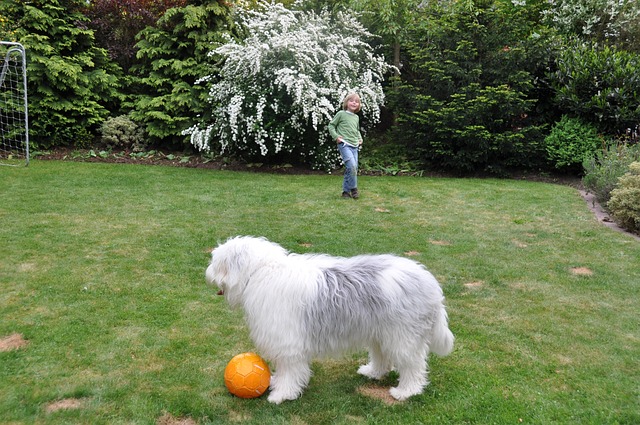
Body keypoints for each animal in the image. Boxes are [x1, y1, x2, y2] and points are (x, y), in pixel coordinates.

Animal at [206, 237, 456, 402]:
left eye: (216, 262)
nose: (206, 274)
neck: (260, 271)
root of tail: (430, 283)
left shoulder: (288, 343)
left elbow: (289, 371)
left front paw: (281, 394)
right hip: (380, 331)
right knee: (382, 357)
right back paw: (372, 372)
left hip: (403, 335)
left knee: (413, 365)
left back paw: (406, 391)